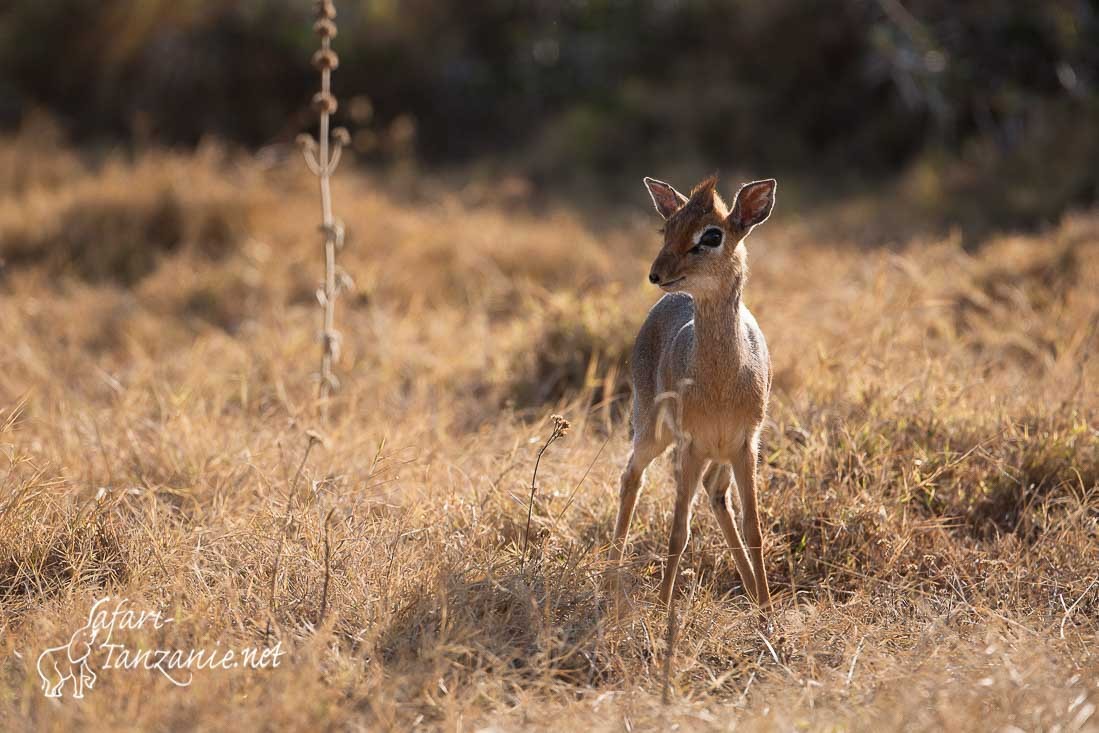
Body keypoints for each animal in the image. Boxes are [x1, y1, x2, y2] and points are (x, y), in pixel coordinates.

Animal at [615, 173, 778, 615]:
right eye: (667, 227)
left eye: (712, 234)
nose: (657, 273)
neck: (720, 384)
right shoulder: (689, 446)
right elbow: (677, 533)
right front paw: (662, 608)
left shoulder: (744, 445)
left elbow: (754, 529)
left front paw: (768, 612)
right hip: (652, 432)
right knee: (630, 475)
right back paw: (608, 570)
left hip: (716, 455)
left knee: (716, 494)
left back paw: (752, 593)